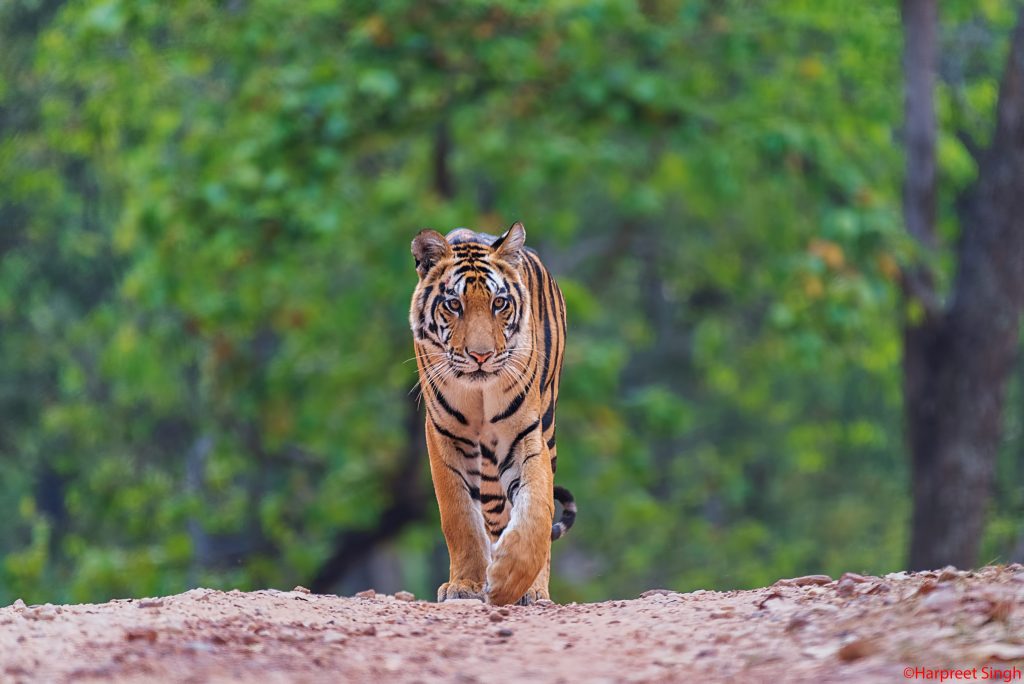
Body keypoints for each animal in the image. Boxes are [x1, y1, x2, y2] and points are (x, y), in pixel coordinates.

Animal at [409, 223, 577, 602]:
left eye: (498, 303)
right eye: (454, 305)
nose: (481, 356)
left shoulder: (525, 435)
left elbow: (536, 508)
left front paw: (511, 579)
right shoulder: (444, 435)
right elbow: (459, 516)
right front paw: (465, 585)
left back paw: (535, 590)